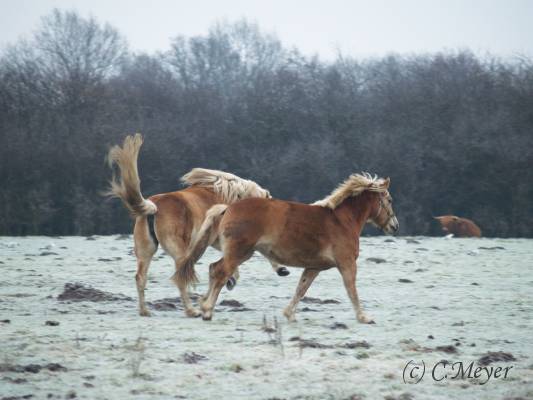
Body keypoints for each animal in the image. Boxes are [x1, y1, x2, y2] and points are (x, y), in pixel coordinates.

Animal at [104, 135, 286, 318]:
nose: (283, 270)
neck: (233, 197)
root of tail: (153, 207)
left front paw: (231, 279)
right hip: (179, 252)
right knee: (180, 277)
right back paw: (192, 311)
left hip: (145, 251)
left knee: (141, 278)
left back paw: (145, 311)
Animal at [179, 173, 400, 324]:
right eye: (389, 200)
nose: (395, 226)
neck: (341, 221)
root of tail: (228, 208)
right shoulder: (346, 264)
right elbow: (351, 289)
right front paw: (364, 317)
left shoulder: (314, 267)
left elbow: (301, 289)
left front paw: (289, 314)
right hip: (238, 253)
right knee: (220, 272)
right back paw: (207, 309)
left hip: (241, 253)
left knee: (213, 268)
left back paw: (203, 305)